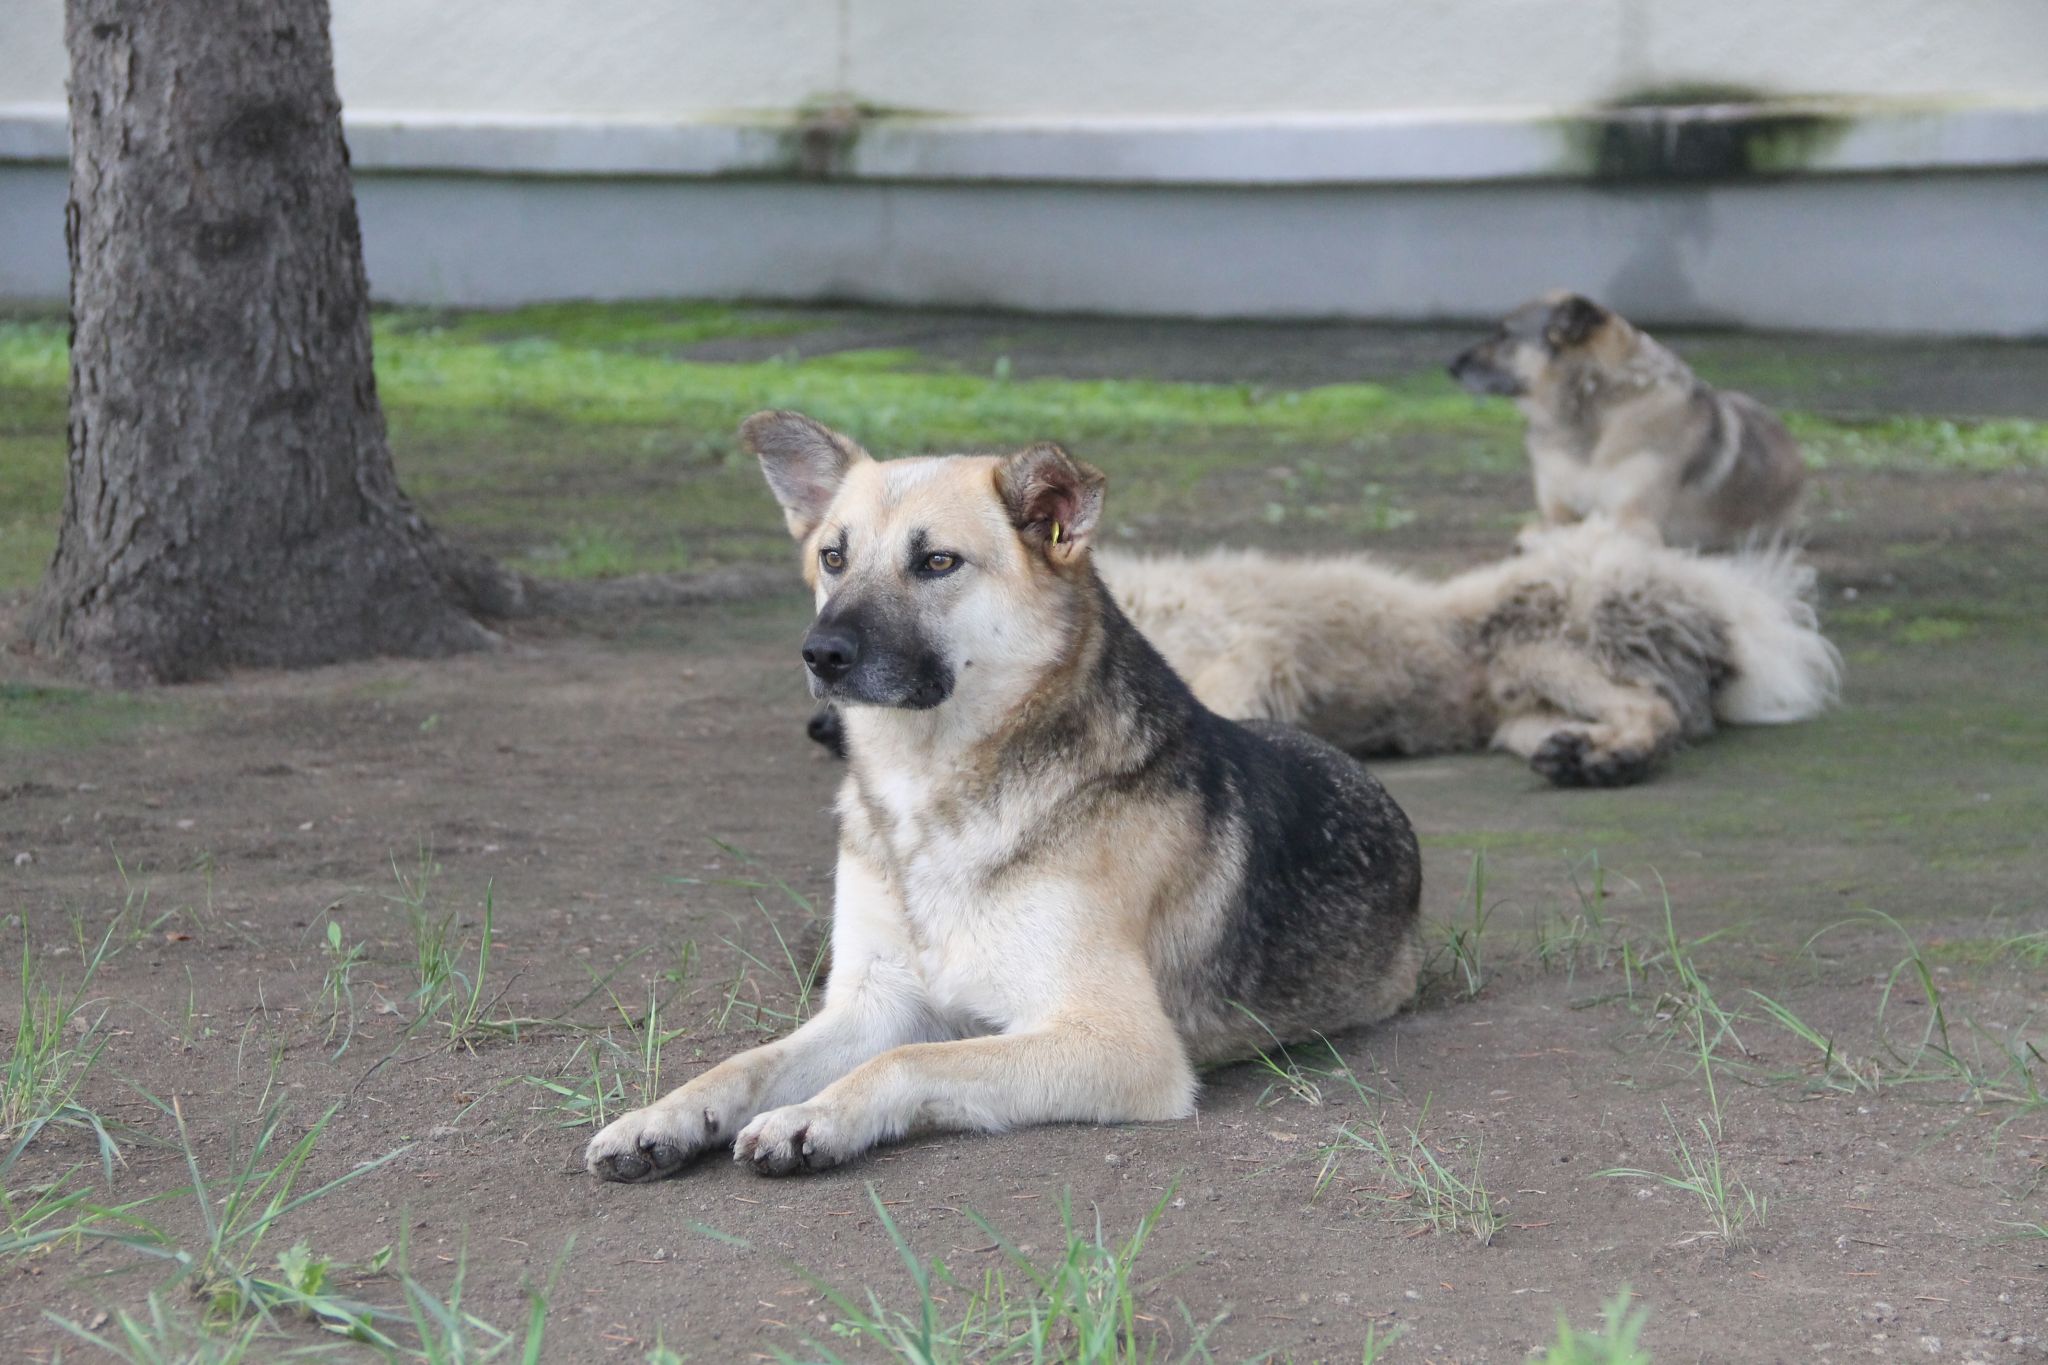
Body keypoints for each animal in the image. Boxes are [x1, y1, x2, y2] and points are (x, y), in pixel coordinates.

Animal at [585, 409, 1425, 1186]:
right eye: (833, 556)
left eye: (937, 561)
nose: (819, 654)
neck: (929, 793)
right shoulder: (871, 1003)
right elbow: (746, 1061)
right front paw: (660, 1117)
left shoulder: (1121, 1041)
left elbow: (912, 1059)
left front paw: (813, 1116)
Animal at [1449, 290, 1802, 548]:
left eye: (1504, 336)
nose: (1450, 366)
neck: (1590, 405)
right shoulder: (1556, 513)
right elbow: (1539, 529)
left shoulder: (1635, 521)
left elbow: (1587, 532)